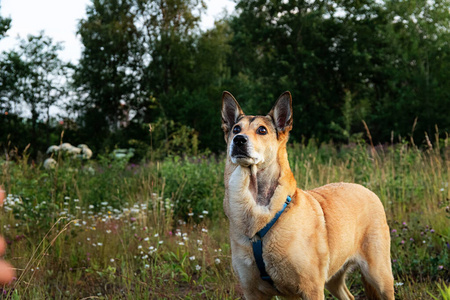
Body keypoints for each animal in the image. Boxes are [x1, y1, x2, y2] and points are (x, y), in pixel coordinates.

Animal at [221, 92, 394, 300]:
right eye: (236, 129)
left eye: (262, 130)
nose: (238, 140)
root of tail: (366, 189)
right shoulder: (252, 291)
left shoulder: (311, 288)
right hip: (334, 279)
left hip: (379, 275)